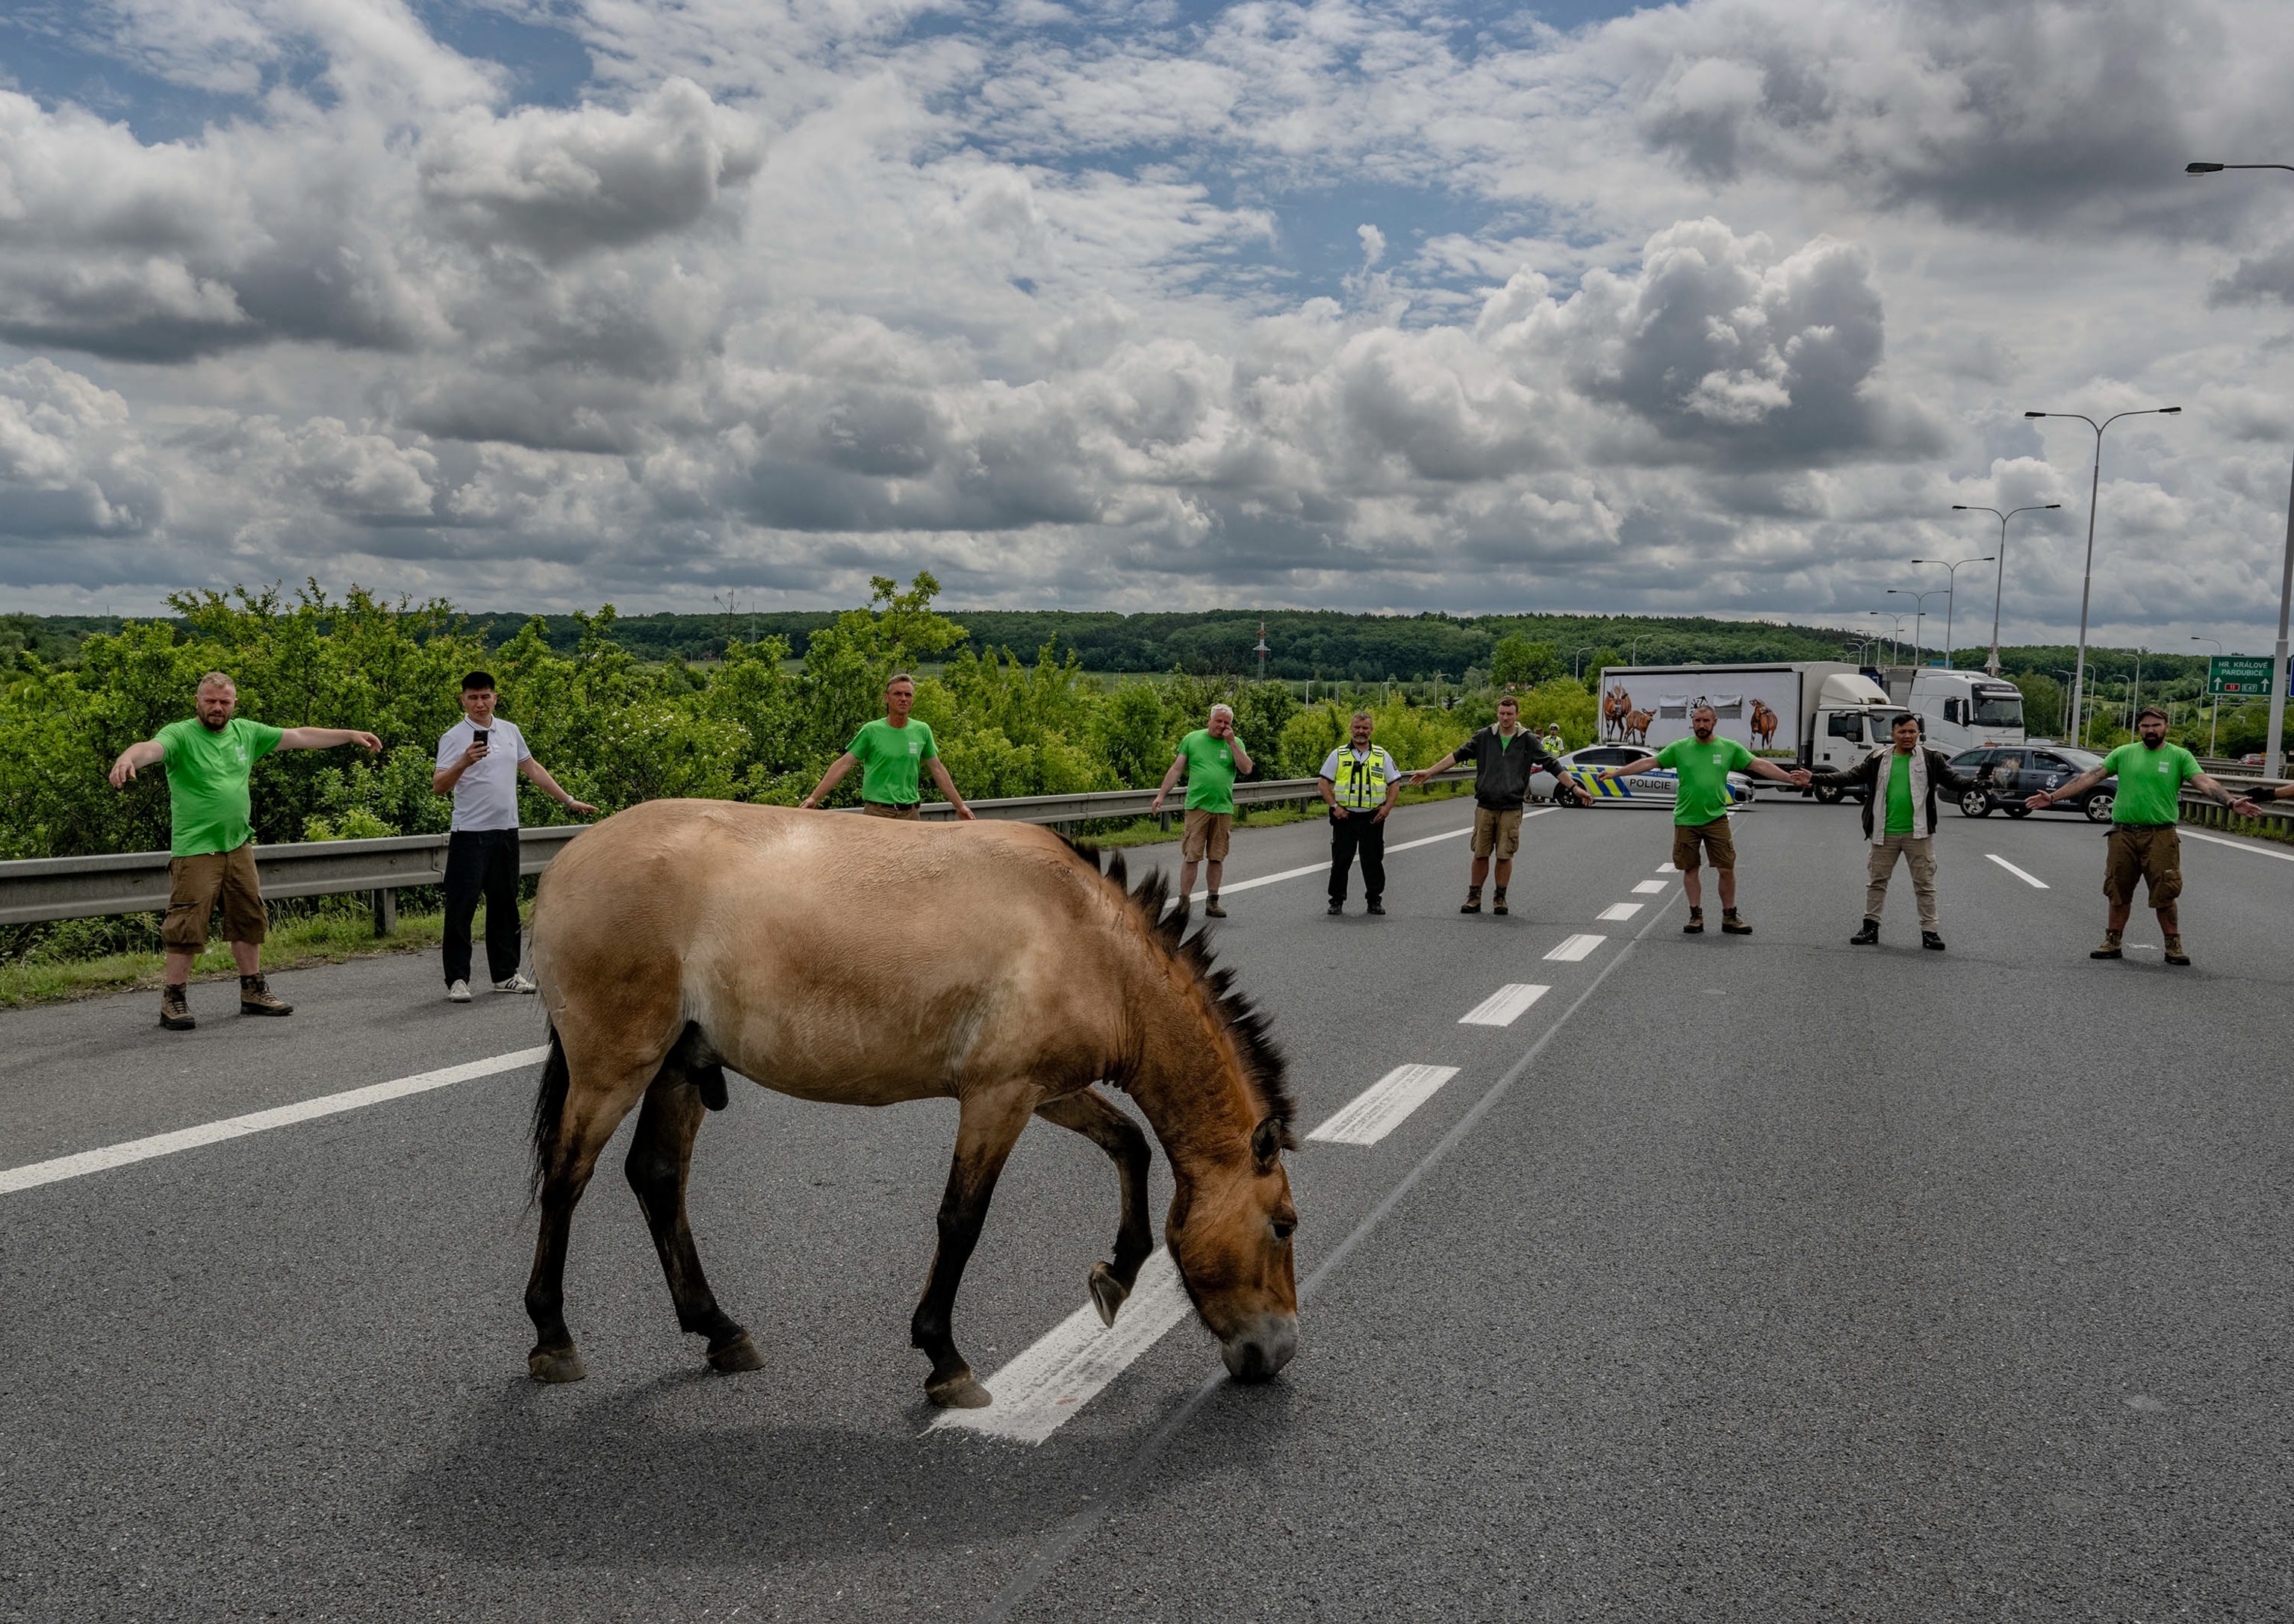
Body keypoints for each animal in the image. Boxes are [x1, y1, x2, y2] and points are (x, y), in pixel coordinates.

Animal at [521, 799, 1300, 1409]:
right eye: (1284, 1225)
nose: (1280, 1351)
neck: (1090, 941)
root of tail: (565, 863)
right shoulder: (998, 1097)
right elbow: (961, 1221)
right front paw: (944, 1359)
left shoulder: (1046, 1091)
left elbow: (1131, 1144)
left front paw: (1117, 1274)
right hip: (613, 1069)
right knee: (566, 1179)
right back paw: (551, 1338)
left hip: (680, 1066)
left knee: (657, 1178)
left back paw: (720, 1330)